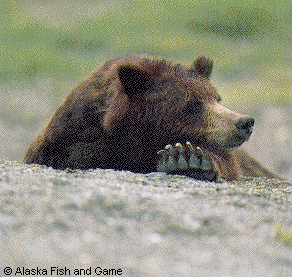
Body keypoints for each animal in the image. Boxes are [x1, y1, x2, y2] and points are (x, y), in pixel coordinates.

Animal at [24, 54, 278, 180]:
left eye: (217, 98)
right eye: (192, 104)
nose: (244, 122)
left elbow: (224, 162)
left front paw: (187, 159)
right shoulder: (67, 136)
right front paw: (182, 158)